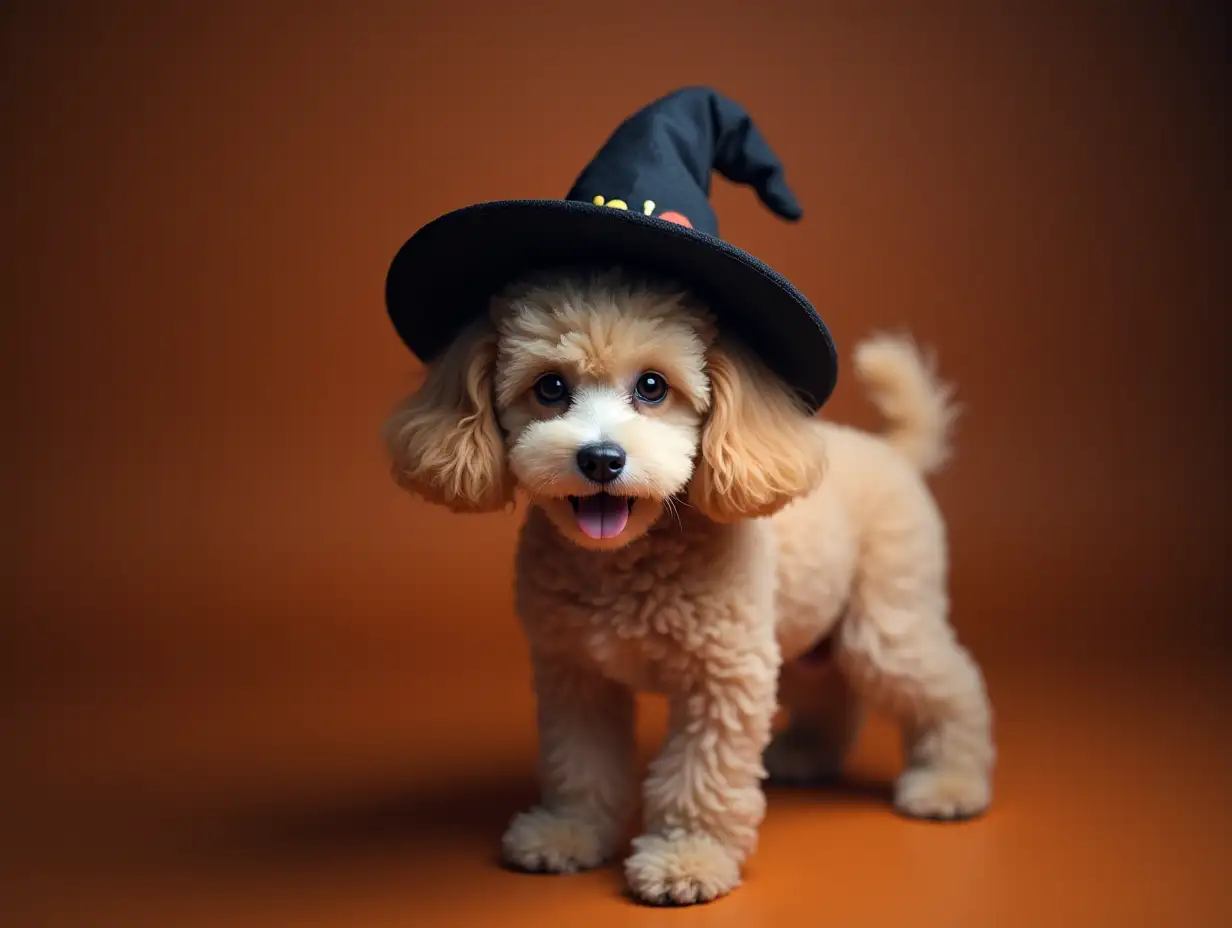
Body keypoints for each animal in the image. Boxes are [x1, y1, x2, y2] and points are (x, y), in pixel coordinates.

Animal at [379, 263, 995, 902]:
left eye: (653, 386)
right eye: (549, 388)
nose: (602, 459)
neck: (627, 561)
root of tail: (892, 451)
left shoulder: (723, 676)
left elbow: (701, 775)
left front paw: (688, 858)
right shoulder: (574, 674)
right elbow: (579, 763)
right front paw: (568, 832)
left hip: (884, 627)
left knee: (951, 688)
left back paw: (950, 781)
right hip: (806, 635)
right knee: (831, 689)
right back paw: (808, 753)